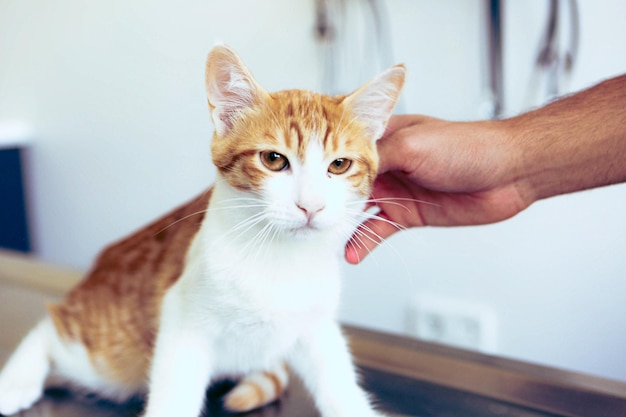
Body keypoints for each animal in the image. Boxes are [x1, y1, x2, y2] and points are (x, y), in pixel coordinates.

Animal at [0, 45, 404, 416]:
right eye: (274, 159)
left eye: (339, 165)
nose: (311, 206)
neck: (280, 256)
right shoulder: (182, 315)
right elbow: (174, 391)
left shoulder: (316, 325)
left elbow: (337, 378)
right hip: (108, 350)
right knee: (52, 330)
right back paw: (17, 381)